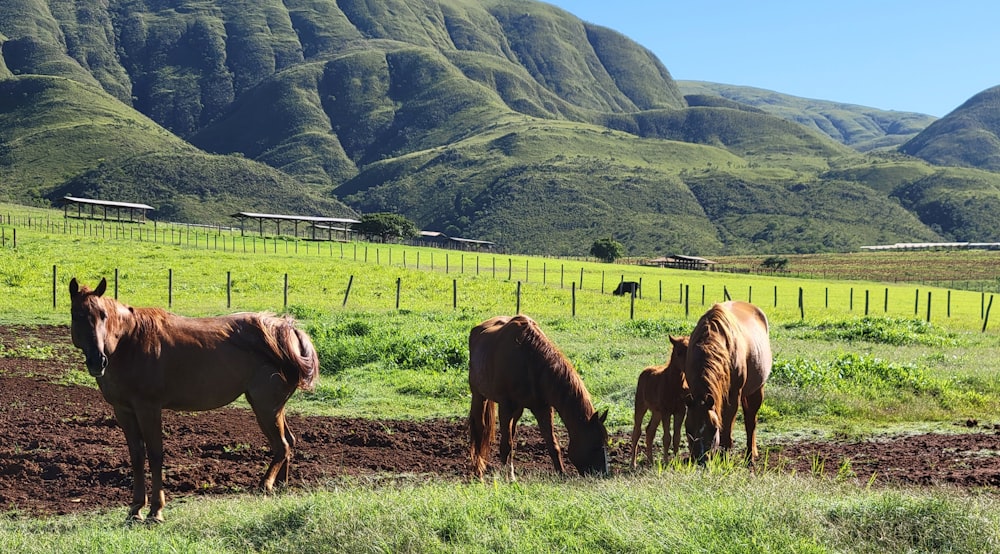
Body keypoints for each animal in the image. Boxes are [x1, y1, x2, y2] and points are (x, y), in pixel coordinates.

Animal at [68, 278, 318, 520]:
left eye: (103, 315)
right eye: (76, 315)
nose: (97, 360)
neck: (130, 341)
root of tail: (288, 332)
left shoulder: (149, 409)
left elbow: (155, 454)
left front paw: (156, 510)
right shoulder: (124, 410)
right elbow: (137, 456)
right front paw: (136, 508)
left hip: (265, 407)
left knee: (282, 446)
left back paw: (265, 485)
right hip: (273, 408)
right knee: (289, 442)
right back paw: (281, 486)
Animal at [468, 314, 608, 478]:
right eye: (595, 445)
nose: (603, 474)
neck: (530, 361)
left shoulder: (542, 408)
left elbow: (552, 444)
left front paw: (561, 474)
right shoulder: (505, 406)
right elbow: (505, 444)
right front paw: (507, 477)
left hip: (518, 409)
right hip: (479, 396)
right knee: (480, 430)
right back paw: (478, 470)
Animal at [628, 334, 692, 468]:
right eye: (678, 352)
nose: (688, 368)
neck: (673, 384)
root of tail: (645, 370)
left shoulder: (680, 411)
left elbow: (677, 437)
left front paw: (676, 462)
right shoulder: (666, 412)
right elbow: (666, 438)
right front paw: (666, 462)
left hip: (656, 412)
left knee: (649, 431)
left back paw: (650, 462)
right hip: (640, 405)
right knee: (637, 431)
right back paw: (633, 464)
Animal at [688, 300, 772, 464]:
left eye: (713, 428)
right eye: (688, 429)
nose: (700, 459)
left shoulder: (733, 396)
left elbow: (727, 430)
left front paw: (724, 458)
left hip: (757, 390)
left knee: (750, 421)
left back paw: (750, 455)